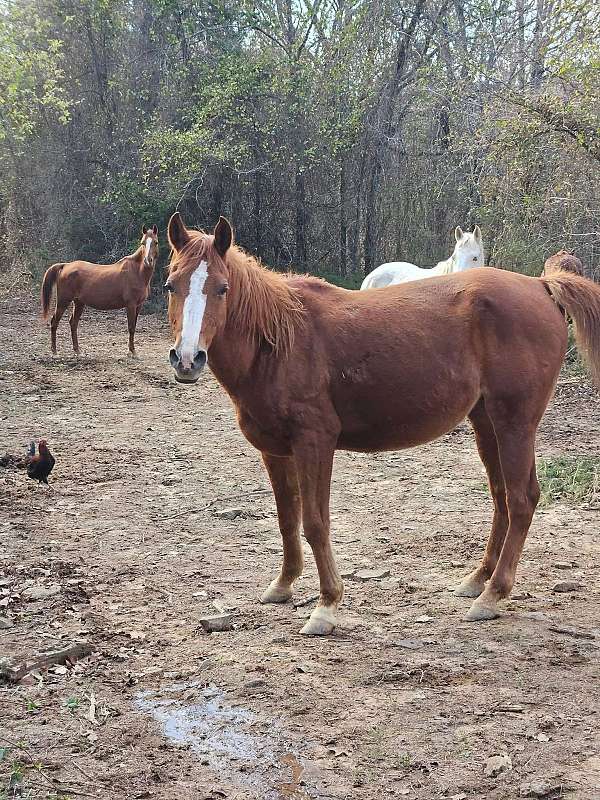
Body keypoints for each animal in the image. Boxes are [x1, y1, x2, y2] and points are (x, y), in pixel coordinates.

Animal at [42, 222, 159, 354]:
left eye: (155, 242)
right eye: (142, 243)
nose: (148, 261)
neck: (136, 272)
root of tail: (65, 265)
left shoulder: (139, 305)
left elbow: (133, 326)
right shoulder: (131, 305)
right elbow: (131, 328)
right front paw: (132, 352)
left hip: (79, 302)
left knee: (73, 323)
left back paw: (77, 350)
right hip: (63, 301)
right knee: (54, 322)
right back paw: (54, 350)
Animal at [163, 214, 600, 636]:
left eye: (222, 288)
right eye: (170, 285)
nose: (187, 359)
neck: (279, 343)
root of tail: (541, 287)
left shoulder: (314, 443)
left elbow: (315, 523)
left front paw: (326, 606)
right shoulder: (274, 449)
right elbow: (287, 519)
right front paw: (284, 585)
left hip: (515, 421)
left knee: (522, 499)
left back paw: (492, 596)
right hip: (487, 422)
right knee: (502, 497)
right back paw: (478, 580)